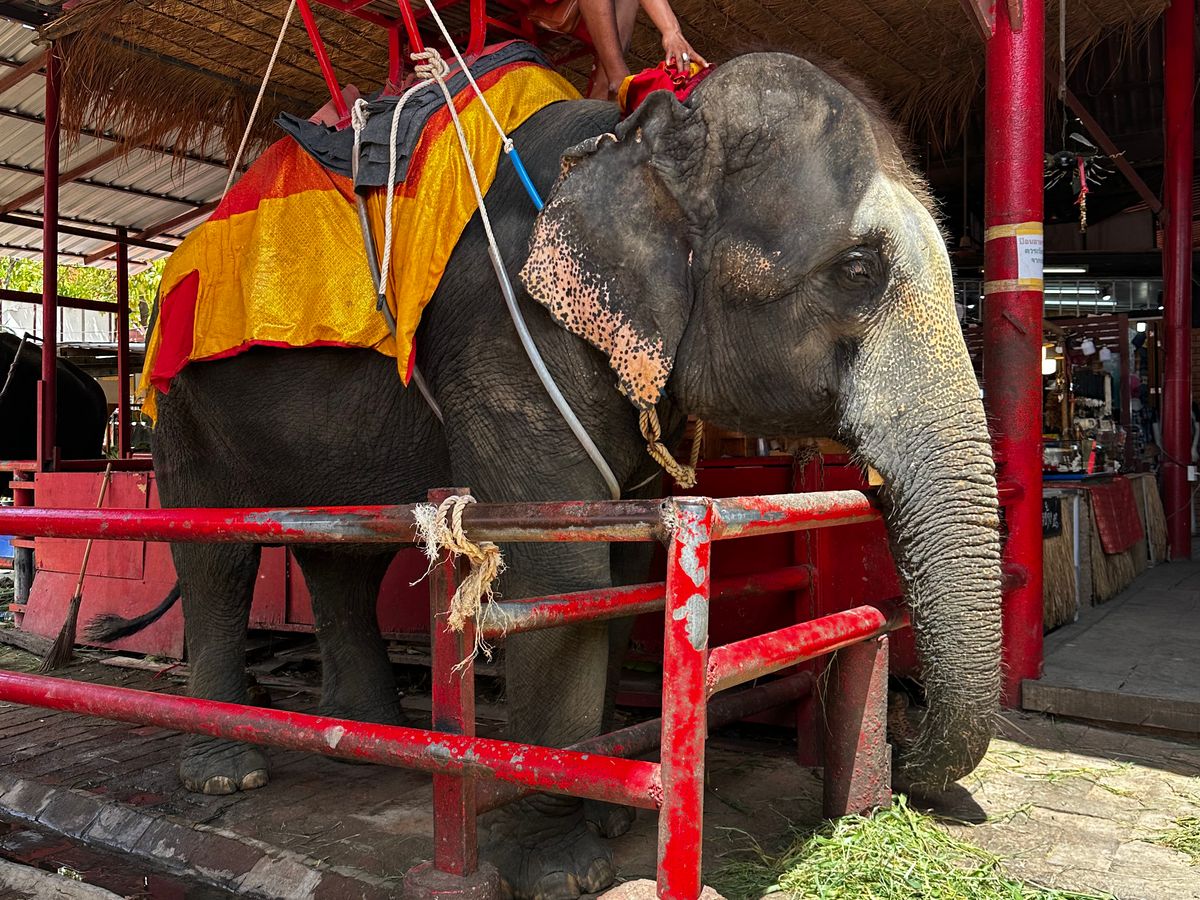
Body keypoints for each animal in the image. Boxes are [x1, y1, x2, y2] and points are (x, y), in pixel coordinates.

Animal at [110, 52, 1001, 899]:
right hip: (180, 399)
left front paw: (607, 819)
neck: (630, 134)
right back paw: (227, 771)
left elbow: (626, 567)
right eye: (858, 269)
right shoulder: (506, 339)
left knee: (342, 555)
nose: (903, 727)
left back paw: (367, 746)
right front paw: (556, 871)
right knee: (217, 555)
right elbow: (561, 573)